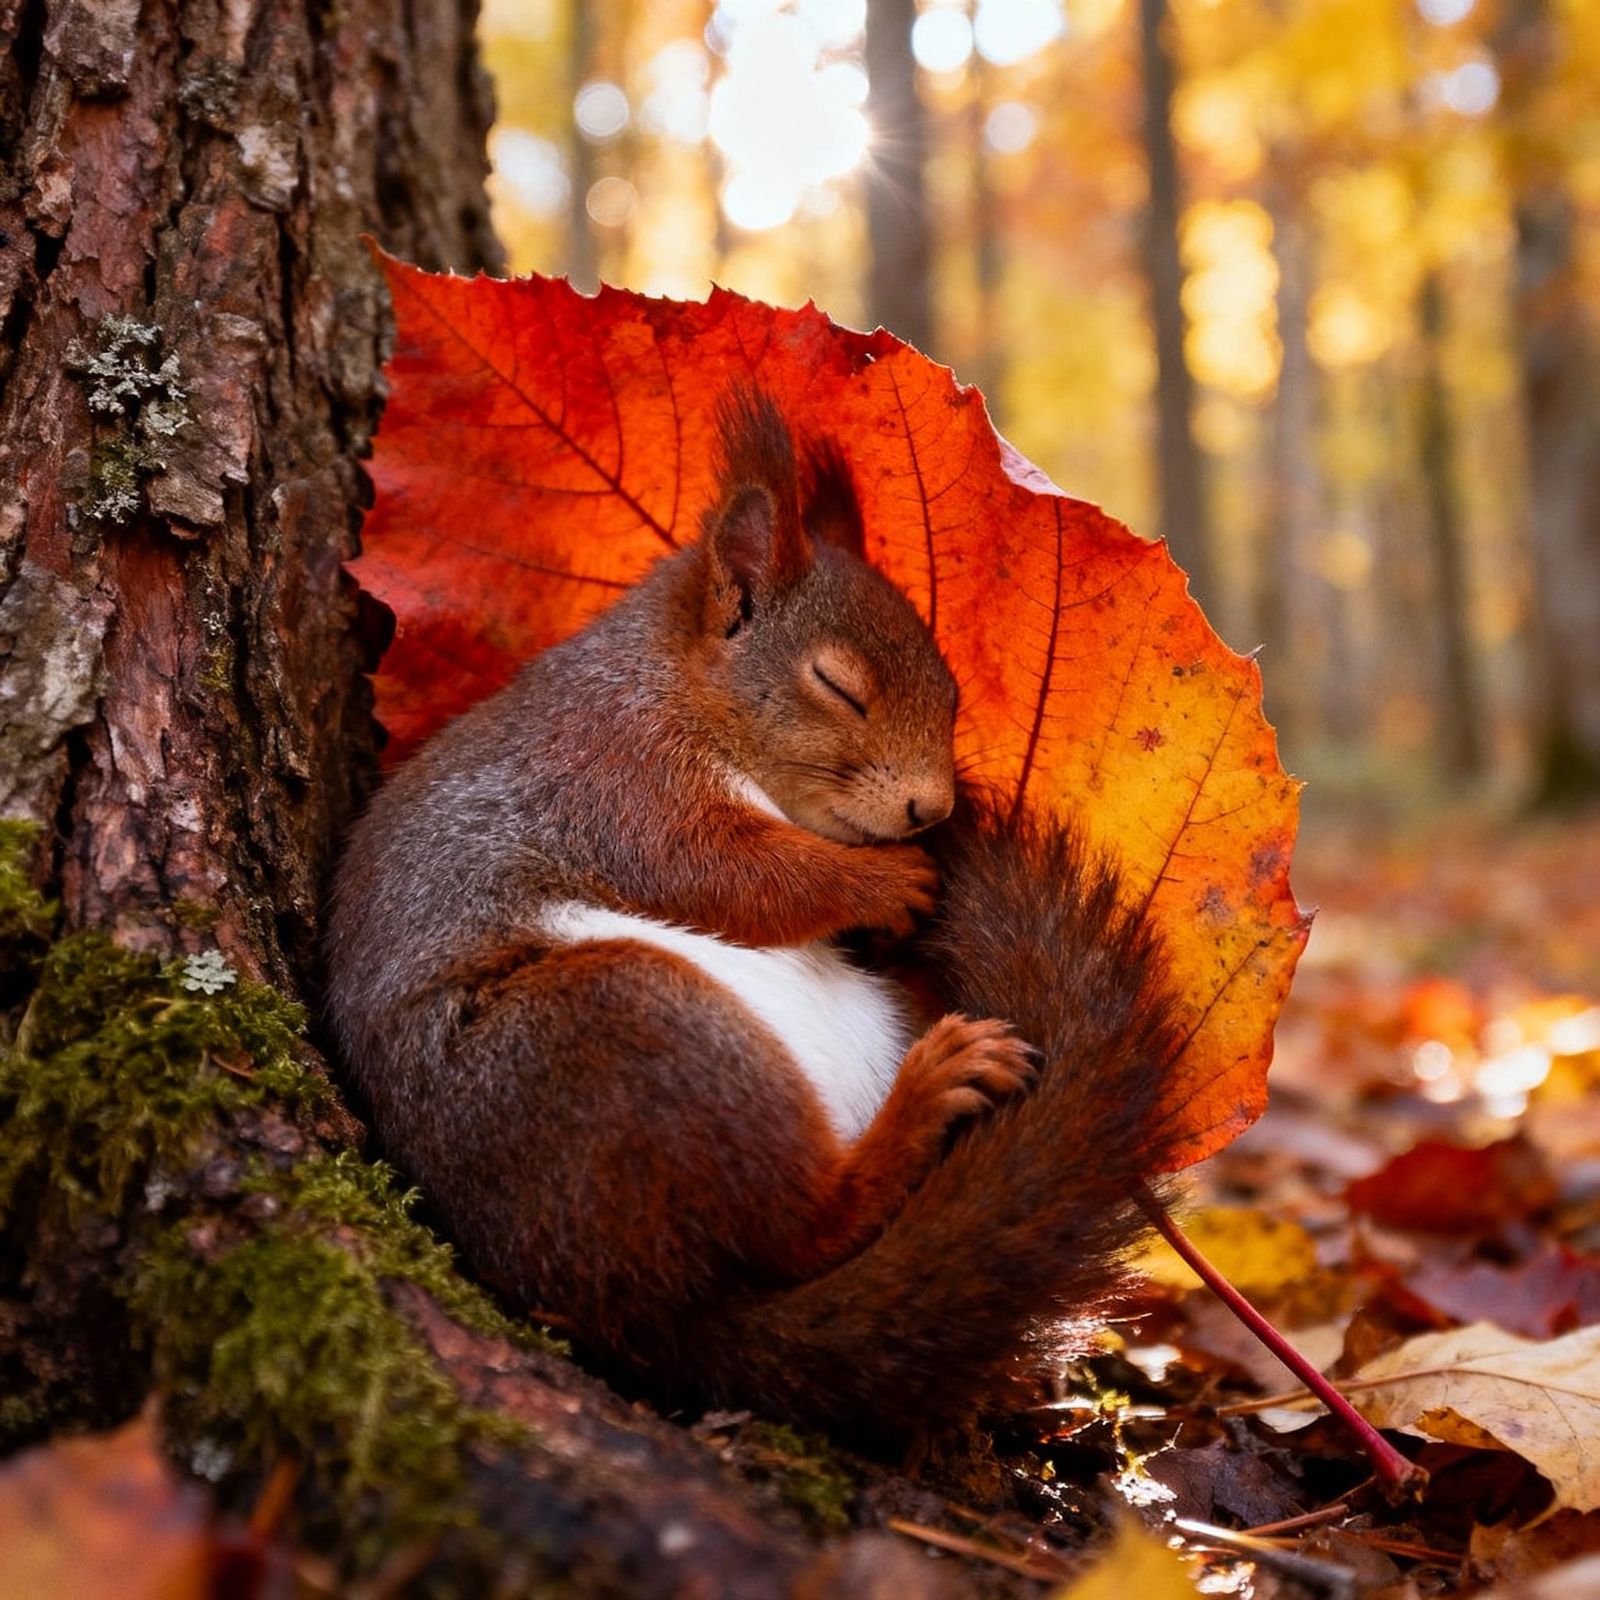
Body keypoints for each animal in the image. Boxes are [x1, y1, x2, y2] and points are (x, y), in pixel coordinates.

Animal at [326, 389, 1181, 1437]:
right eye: (838, 686)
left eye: (950, 690)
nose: (930, 812)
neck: (677, 688)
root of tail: (654, 1321)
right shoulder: (617, 782)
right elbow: (729, 873)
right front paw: (885, 884)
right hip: (627, 1029)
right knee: (805, 1228)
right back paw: (929, 1094)